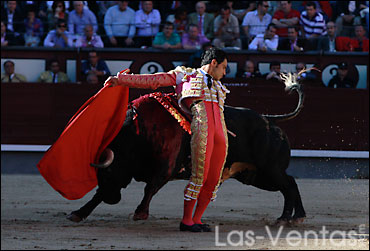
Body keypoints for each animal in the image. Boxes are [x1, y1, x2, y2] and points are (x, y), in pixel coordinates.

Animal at [66, 84, 306, 224]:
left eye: (107, 173)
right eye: (98, 175)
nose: (112, 199)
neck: (139, 132)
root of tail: (269, 121)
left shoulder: (165, 168)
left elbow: (149, 188)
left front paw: (140, 213)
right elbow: (97, 195)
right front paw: (79, 212)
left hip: (269, 171)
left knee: (289, 183)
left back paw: (290, 217)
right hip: (254, 176)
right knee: (289, 185)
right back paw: (291, 217)